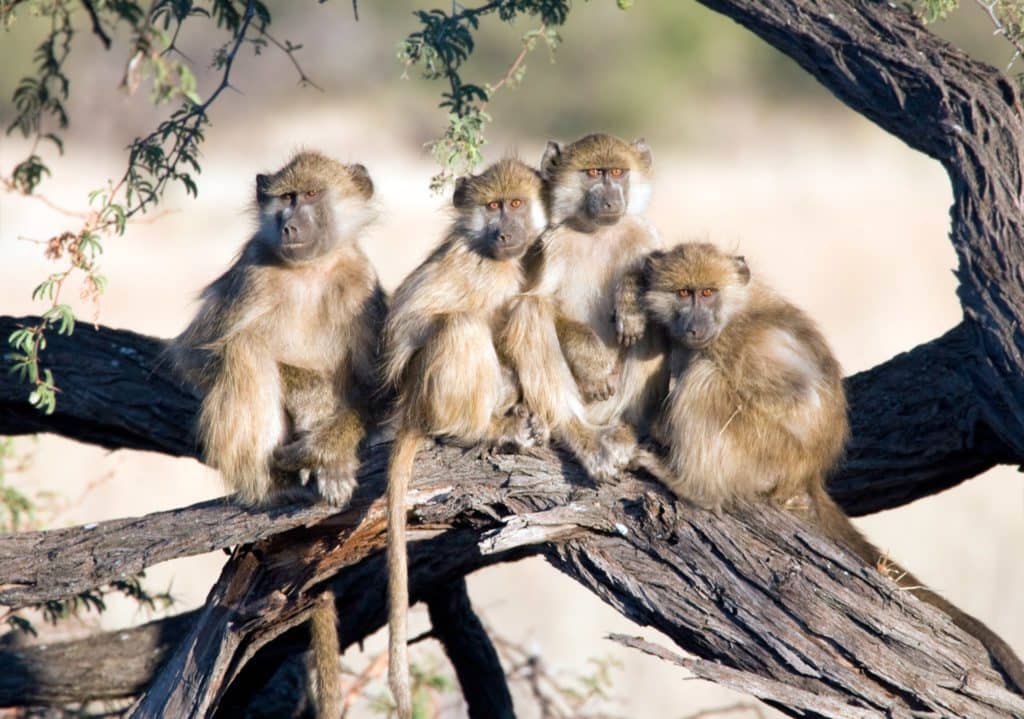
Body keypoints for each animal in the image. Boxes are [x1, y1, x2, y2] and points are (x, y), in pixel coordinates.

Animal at [168, 150, 386, 717]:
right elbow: (199, 355)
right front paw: (309, 413)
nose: (289, 225)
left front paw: (331, 453)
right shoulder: (252, 272)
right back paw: (273, 486)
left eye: (310, 196)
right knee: (246, 348)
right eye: (285, 198)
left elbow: (374, 391)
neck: (310, 271)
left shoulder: (361, 282)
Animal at [384, 157, 547, 719]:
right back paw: (488, 429)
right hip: (433, 394)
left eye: (516, 203)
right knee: (461, 327)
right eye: (493, 206)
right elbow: (413, 324)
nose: (506, 230)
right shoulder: (471, 267)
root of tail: (413, 411)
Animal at [501, 133, 667, 482]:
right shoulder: (553, 244)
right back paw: (581, 435)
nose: (610, 201)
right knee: (530, 311)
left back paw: (626, 429)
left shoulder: (643, 232)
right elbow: (535, 300)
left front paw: (629, 299)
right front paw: (591, 363)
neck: (599, 232)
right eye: (593, 173)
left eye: (617, 172)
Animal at [635, 241, 1024, 694]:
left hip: (767, 455)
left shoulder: (746, 347)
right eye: (683, 293)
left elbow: (782, 391)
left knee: (707, 381)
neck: (733, 314)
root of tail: (808, 473)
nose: (695, 326)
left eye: (708, 293)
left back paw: (693, 485)